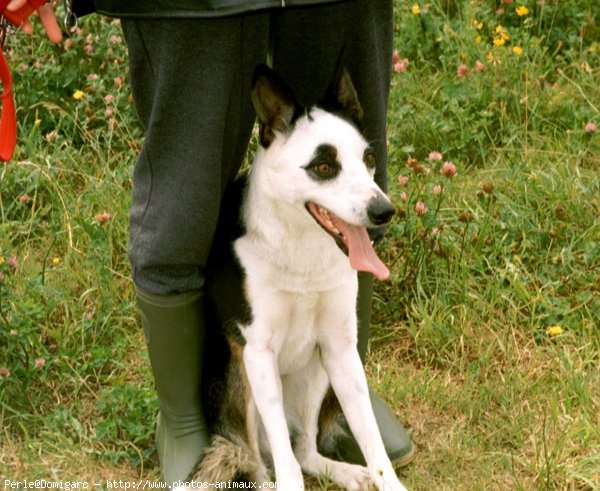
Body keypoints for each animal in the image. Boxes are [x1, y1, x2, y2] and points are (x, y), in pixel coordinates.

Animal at [186, 64, 408, 491]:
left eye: (369, 158)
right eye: (323, 167)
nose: (383, 211)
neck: (300, 247)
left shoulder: (340, 349)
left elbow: (372, 441)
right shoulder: (258, 352)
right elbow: (284, 464)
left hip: (316, 373)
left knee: (305, 450)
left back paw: (346, 472)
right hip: (243, 384)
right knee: (260, 462)